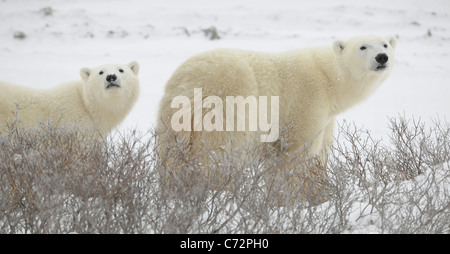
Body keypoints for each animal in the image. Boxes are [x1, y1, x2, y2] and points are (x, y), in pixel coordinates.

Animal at [158, 35, 398, 202]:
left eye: (385, 44)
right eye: (363, 46)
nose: (382, 57)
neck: (329, 77)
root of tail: (191, 82)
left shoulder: (328, 117)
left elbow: (320, 153)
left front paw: (320, 193)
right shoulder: (306, 99)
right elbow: (295, 152)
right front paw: (293, 196)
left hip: (173, 113)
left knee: (172, 153)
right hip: (229, 102)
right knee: (219, 152)